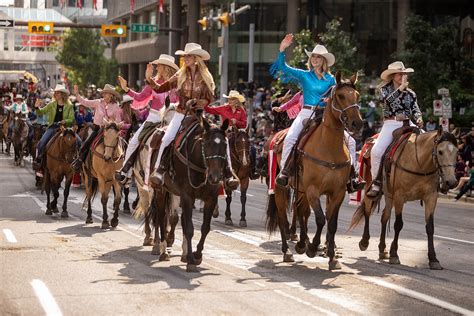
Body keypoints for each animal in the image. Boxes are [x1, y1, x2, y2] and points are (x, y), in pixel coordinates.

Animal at [147, 116, 231, 272]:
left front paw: (197, 255)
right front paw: (191, 260)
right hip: (161, 191)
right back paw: (162, 249)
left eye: (225, 145)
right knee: (160, 217)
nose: (215, 177)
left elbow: (204, 228)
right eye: (207, 143)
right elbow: (190, 229)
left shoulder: (210, 199)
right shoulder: (187, 197)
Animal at [266, 71, 362, 270]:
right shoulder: (313, 190)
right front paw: (312, 247)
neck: (329, 147)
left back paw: (301, 243)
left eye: (357, 96)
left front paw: (332, 257)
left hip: (300, 190)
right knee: (282, 217)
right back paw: (288, 251)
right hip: (280, 188)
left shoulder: (337, 193)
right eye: (341, 96)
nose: (357, 123)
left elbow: (331, 223)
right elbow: (319, 219)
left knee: (301, 212)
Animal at [350, 127, 458, 270]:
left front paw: (433, 259)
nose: (451, 182)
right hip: (370, 186)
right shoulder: (400, 197)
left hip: (389, 195)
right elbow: (398, 224)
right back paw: (364, 241)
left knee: (384, 217)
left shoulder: (431, 197)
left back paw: (382, 249)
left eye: (457, 152)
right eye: (440, 152)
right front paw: (394, 254)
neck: (419, 163)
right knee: (367, 209)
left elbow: (430, 227)